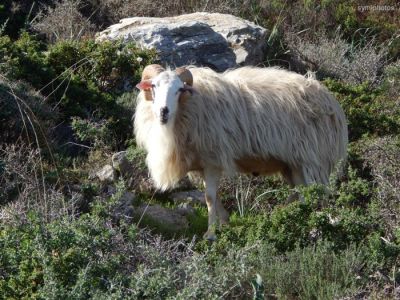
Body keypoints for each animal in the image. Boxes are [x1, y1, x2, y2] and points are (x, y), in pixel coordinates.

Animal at [134, 64, 346, 240]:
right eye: (153, 86)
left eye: (180, 89)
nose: (163, 112)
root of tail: (332, 104)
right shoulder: (201, 163)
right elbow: (213, 197)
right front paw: (225, 221)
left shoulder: (213, 160)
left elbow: (209, 197)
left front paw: (211, 233)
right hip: (293, 165)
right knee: (300, 193)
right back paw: (288, 215)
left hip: (312, 160)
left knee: (314, 195)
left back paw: (312, 225)